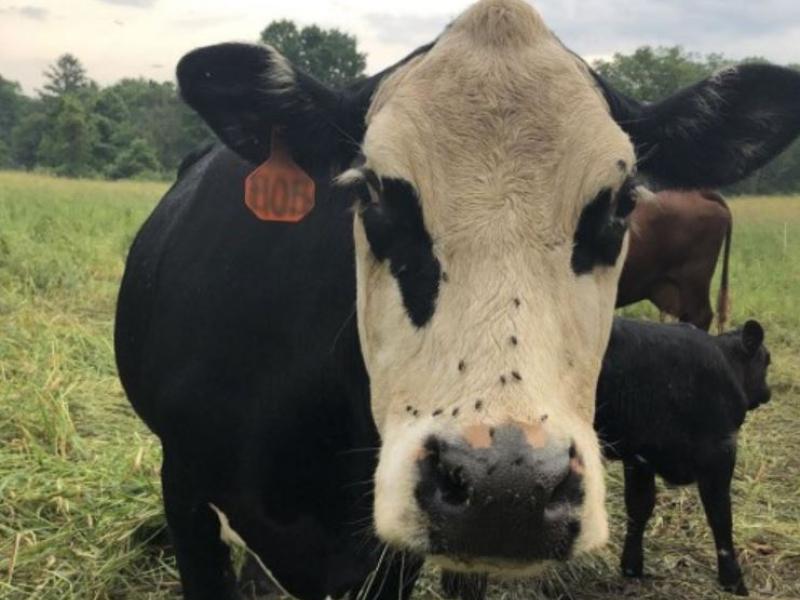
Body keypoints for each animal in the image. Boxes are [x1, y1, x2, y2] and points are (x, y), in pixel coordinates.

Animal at [441, 317, 772, 598]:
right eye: (766, 360)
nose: (767, 392)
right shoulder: (719, 453)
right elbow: (720, 517)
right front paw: (734, 581)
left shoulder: (639, 457)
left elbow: (640, 507)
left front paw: (632, 566)